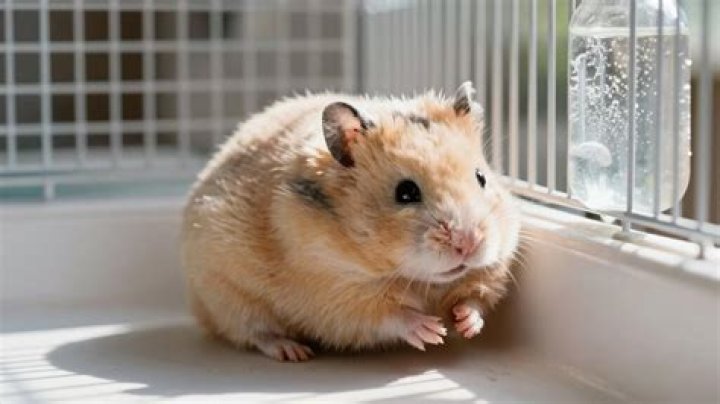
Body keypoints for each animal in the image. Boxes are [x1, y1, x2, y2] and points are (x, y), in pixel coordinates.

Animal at [182, 82, 521, 361]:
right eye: (405, 192)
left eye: (481, 177)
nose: (469, 243)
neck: (417, 278)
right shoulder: (337, 294)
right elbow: (391, 315)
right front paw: (432, 331)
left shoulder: (493, 268)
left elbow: (475, 298)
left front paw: (465, 324)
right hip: (229, 296)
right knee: (254, 333)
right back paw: (293, 351)